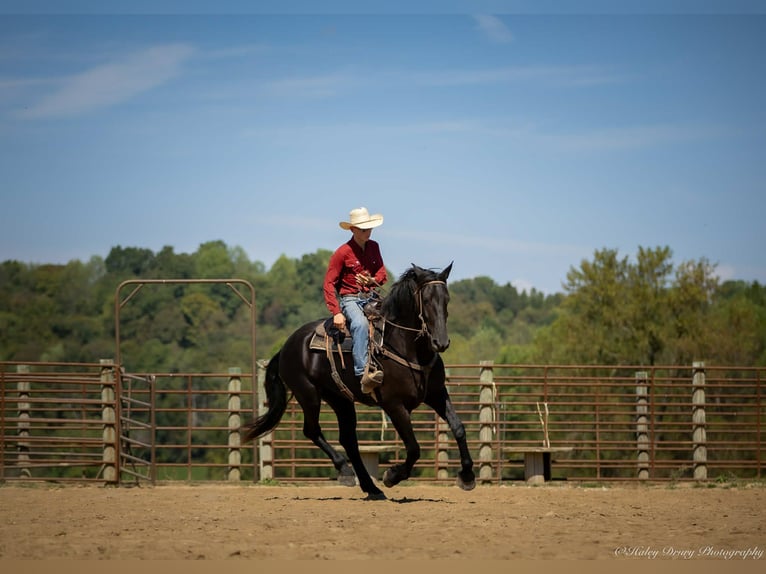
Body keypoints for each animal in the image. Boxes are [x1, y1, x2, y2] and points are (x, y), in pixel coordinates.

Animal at [241, 263, 476, 500]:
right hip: (308, 394)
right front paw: (392, 476)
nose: (441, 342)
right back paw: (345, 471)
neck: (405, 347)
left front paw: (467, 477)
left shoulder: (437, 394)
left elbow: (458, 428)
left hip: (340, 399)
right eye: (426, 300)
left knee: (348, 440)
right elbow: (413, 447)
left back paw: (371, 487)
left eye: (446, 299)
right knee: (312, 431)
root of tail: (286, 346)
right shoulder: (394, 405)